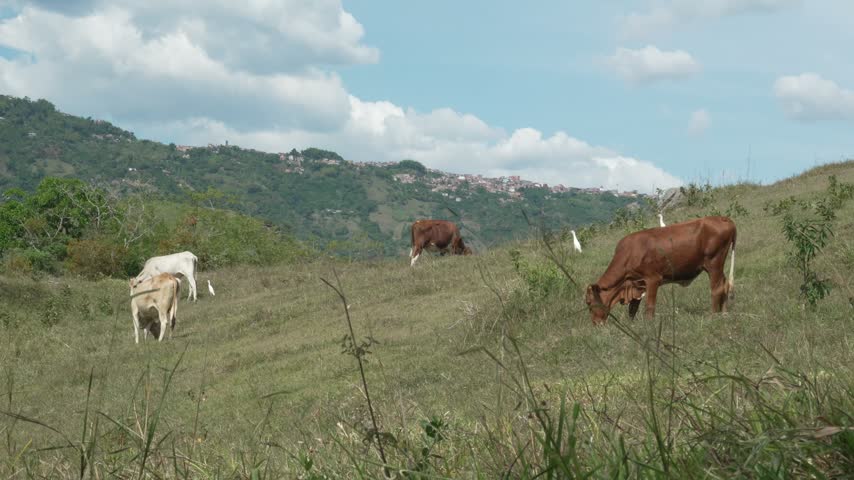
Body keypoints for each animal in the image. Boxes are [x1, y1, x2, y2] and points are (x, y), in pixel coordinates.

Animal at [584, 216, 736, 324]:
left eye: (589, 302)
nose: (595, 323)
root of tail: (722, 218)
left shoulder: (652, 279)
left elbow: (650, 305)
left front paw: (649, 324)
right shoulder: (637, 283)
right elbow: (633, 308)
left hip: (714, 263)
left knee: (716, 288)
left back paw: (713, 316)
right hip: (718, 266)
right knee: (725, 285)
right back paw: (724, 314)